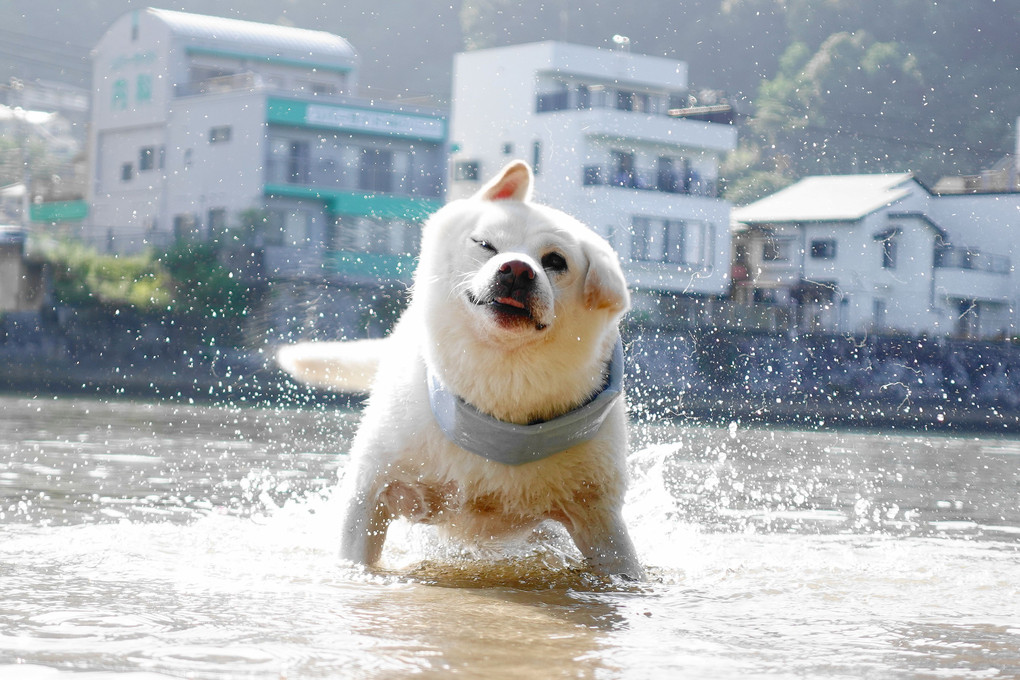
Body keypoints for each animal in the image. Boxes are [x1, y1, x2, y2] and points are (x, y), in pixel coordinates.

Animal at [277, 161, 644, 579]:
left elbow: (624, 564)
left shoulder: (599, 514)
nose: (517, 269)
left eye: (555, 261)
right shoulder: (372, 489)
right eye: (485, 245)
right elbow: (356, 553)